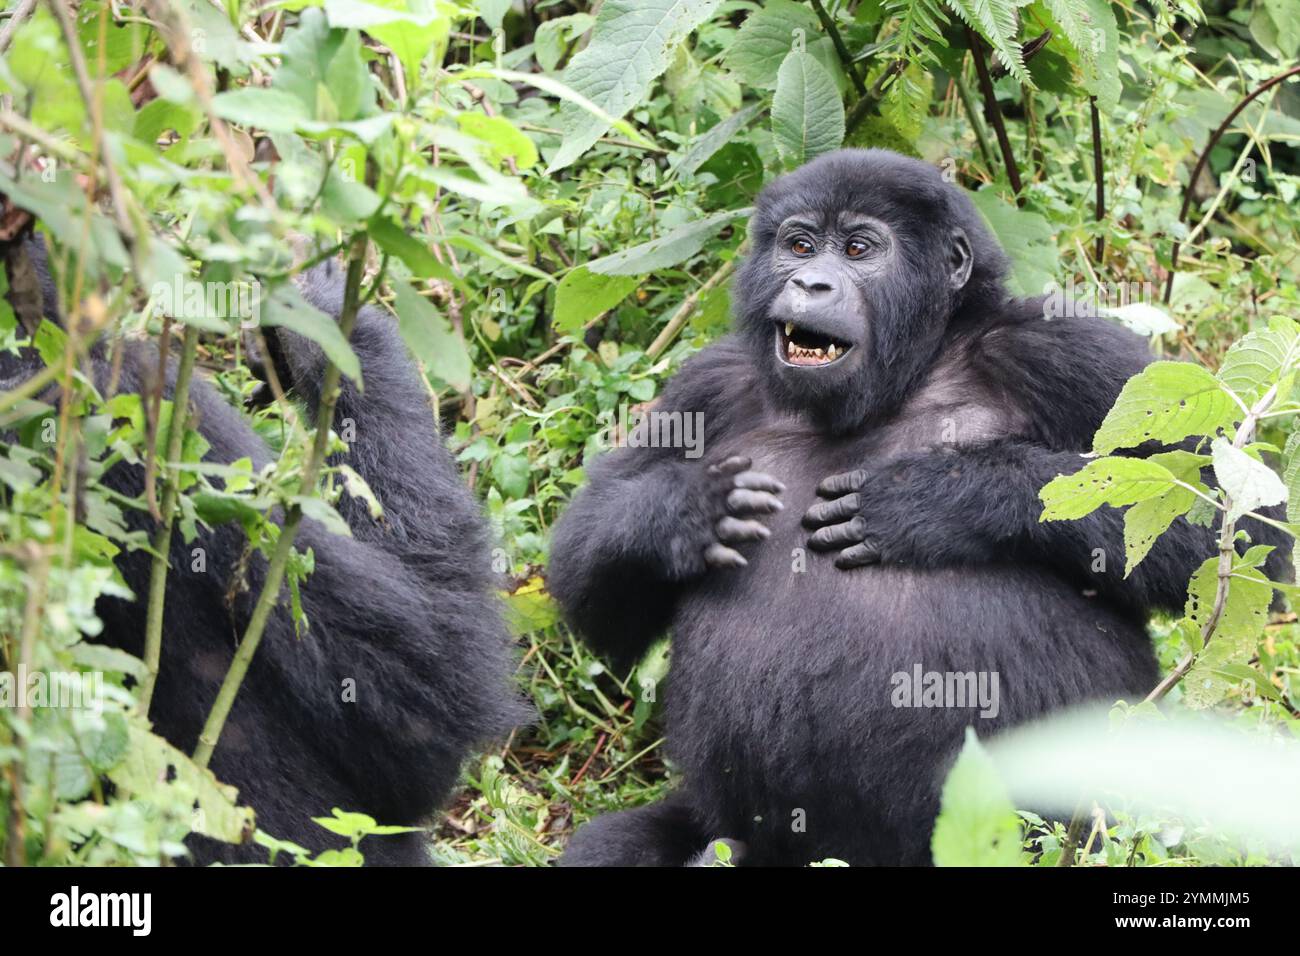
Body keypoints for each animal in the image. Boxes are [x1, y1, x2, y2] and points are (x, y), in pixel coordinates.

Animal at [543, 147, 1284, 868]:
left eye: (859, 250)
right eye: (799, 244)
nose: (811, 284)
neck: (913, 370)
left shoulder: (1062, 346)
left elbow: (1232, 533)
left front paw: (939, 496)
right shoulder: (708, 384)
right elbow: (590, 582)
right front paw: (682, 514)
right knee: (619, 847)